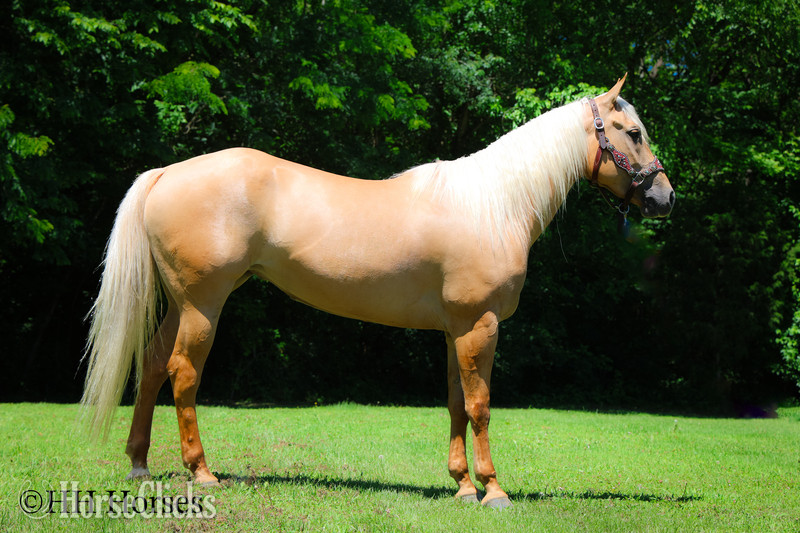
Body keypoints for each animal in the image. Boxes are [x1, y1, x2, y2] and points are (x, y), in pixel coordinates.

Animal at [81, 75, 674, 509]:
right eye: (632, 131)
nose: (665, 198)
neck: (493, 206)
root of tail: (167, 172)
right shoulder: (480, 324)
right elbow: (480, 406)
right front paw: (493, 490)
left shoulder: (455, 330)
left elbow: (455, 403)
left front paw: (462, 486)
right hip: (204, 303)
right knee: (183, 373)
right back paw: (202, 473)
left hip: (181, 304)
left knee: (152, 365)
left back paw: (139, 464)